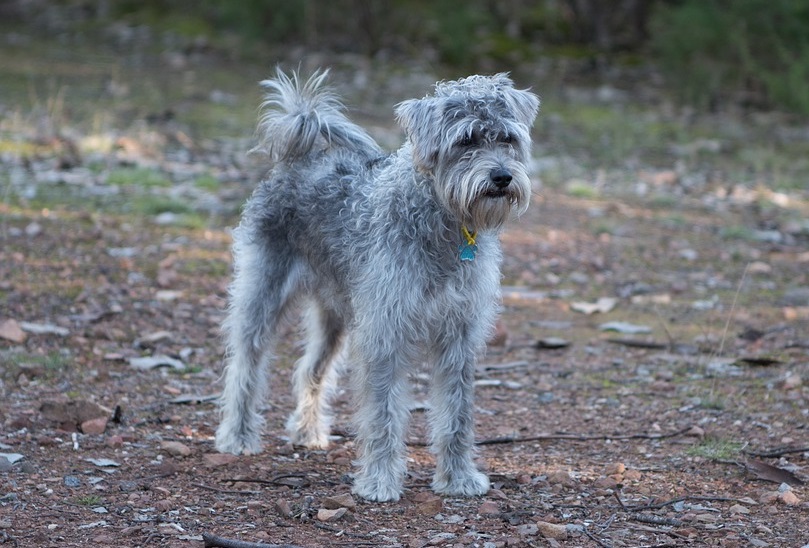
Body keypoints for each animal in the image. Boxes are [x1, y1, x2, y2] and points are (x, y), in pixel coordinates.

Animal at [218, 68, 540, 500]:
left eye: (507, 138)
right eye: (466, 140)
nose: (502, 177)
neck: (442, 221)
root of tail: (298, 158)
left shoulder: (459, 333)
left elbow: (458, 413)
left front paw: (458, 478)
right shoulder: (385, 332)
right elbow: (383, 413)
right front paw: (379, 481)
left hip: (337, 316)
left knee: (309, 370)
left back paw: (308, 431)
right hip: (263, 295)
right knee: (245, 366)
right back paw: (237, 436)